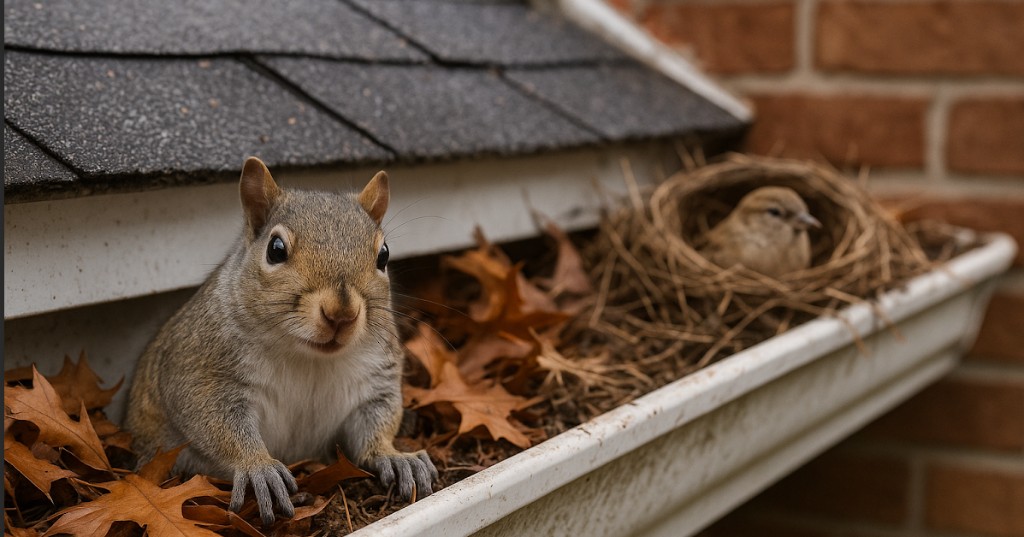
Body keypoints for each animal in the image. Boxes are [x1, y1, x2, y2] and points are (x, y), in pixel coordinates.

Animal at [125, 157, 437, 526]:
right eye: (275, 250)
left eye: (384, 256)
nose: (341, 313)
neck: (306, 357)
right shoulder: (201, 368)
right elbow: (213, 418)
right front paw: (258, 466)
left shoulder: (374, 376)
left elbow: (375, 419)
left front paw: (393, 455)